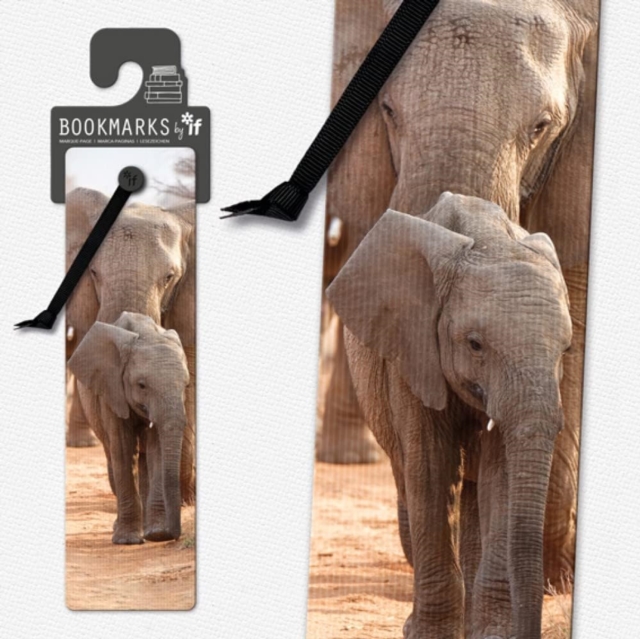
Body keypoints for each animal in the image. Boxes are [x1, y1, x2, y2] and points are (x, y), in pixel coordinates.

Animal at [68, 312, 190, 544]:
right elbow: (123, 450)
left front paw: (157, 534)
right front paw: (127, 540)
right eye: (141, 385)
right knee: (113, 453)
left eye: (186, 386)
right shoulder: (111, 389)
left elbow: (156, 450)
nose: (174, 535)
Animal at [327, 193, 572, 639]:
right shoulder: (411, 346)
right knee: (407, 476)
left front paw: (493, 633)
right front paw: (429, 634)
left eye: (566, 350)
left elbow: (501, 474)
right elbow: (431, 468)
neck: (489, 242)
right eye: (475, 344)